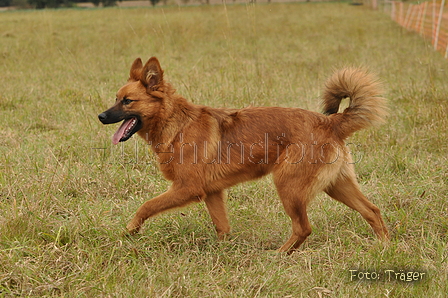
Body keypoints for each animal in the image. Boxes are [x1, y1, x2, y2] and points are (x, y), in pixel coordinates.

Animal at [98, 56, 388, 254]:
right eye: (116, 98)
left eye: (127, 101)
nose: (100, 116)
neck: (175, 122)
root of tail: (330, 122)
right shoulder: (213, 193)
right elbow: (222, 227)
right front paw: (222, 251)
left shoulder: (187, 189)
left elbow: (146, 206)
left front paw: (130, 231)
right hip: (337, 186)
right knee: (372, 210)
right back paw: (384, 246)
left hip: (288, 187)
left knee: (303, 228)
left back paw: (279, 255)